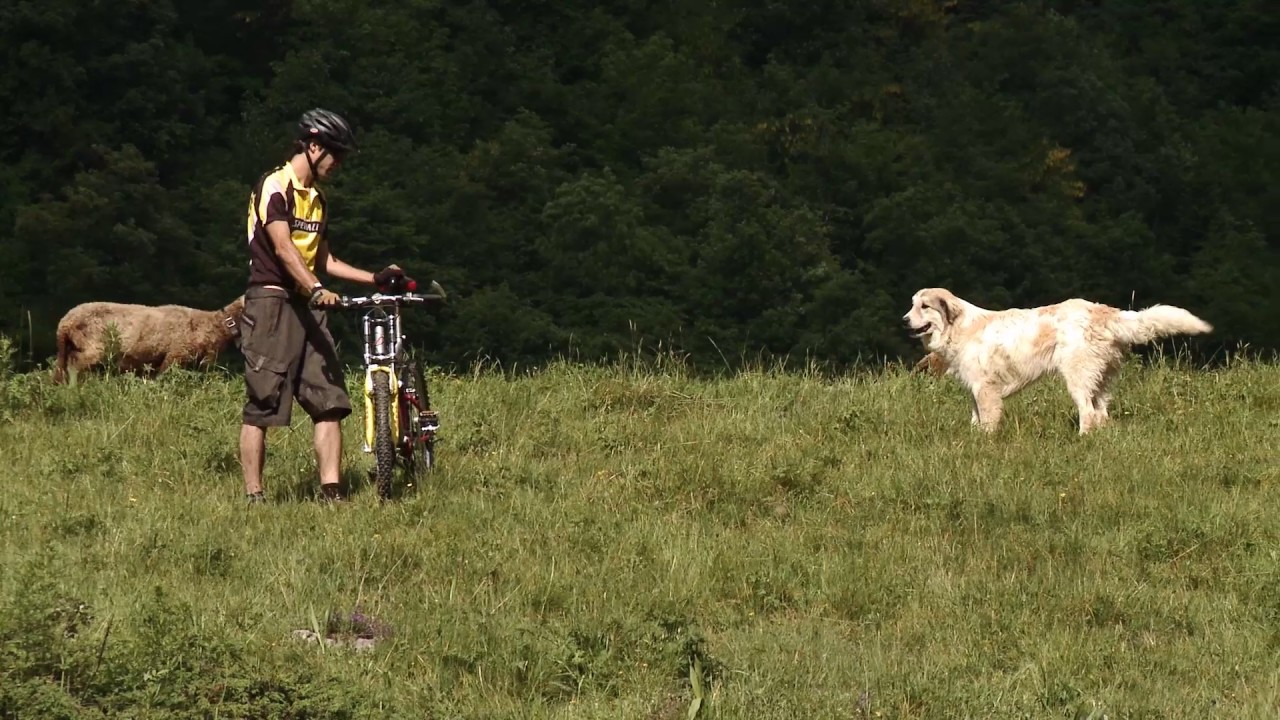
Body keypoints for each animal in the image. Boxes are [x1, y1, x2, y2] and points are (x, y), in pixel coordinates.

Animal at [901, 285, 1208, 430]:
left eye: (924, 306)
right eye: (913, 305)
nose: (904, 320)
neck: (960, 328)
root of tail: (1104, 312)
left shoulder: (985, 389)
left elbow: (987, 421)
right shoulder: (975, 390)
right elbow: (976, 420)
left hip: (1078, 378)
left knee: (1088, 414)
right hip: (1101, 381)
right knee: (1101, 414)